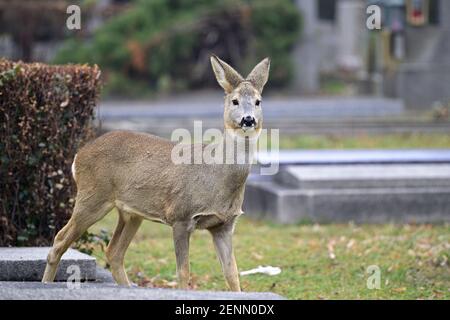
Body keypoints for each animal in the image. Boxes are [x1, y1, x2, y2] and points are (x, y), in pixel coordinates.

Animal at [42, 56, 268, 292]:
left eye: (258, 101)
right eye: (234, 101)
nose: (248, 120)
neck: (217, 176)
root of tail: (78, 157)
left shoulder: (224, 225)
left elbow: (232, 273)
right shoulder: (181, 215)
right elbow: (183, 272)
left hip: (130, 213)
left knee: (114, 252)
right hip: (92, 196)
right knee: (60, 239)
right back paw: (46, 283)